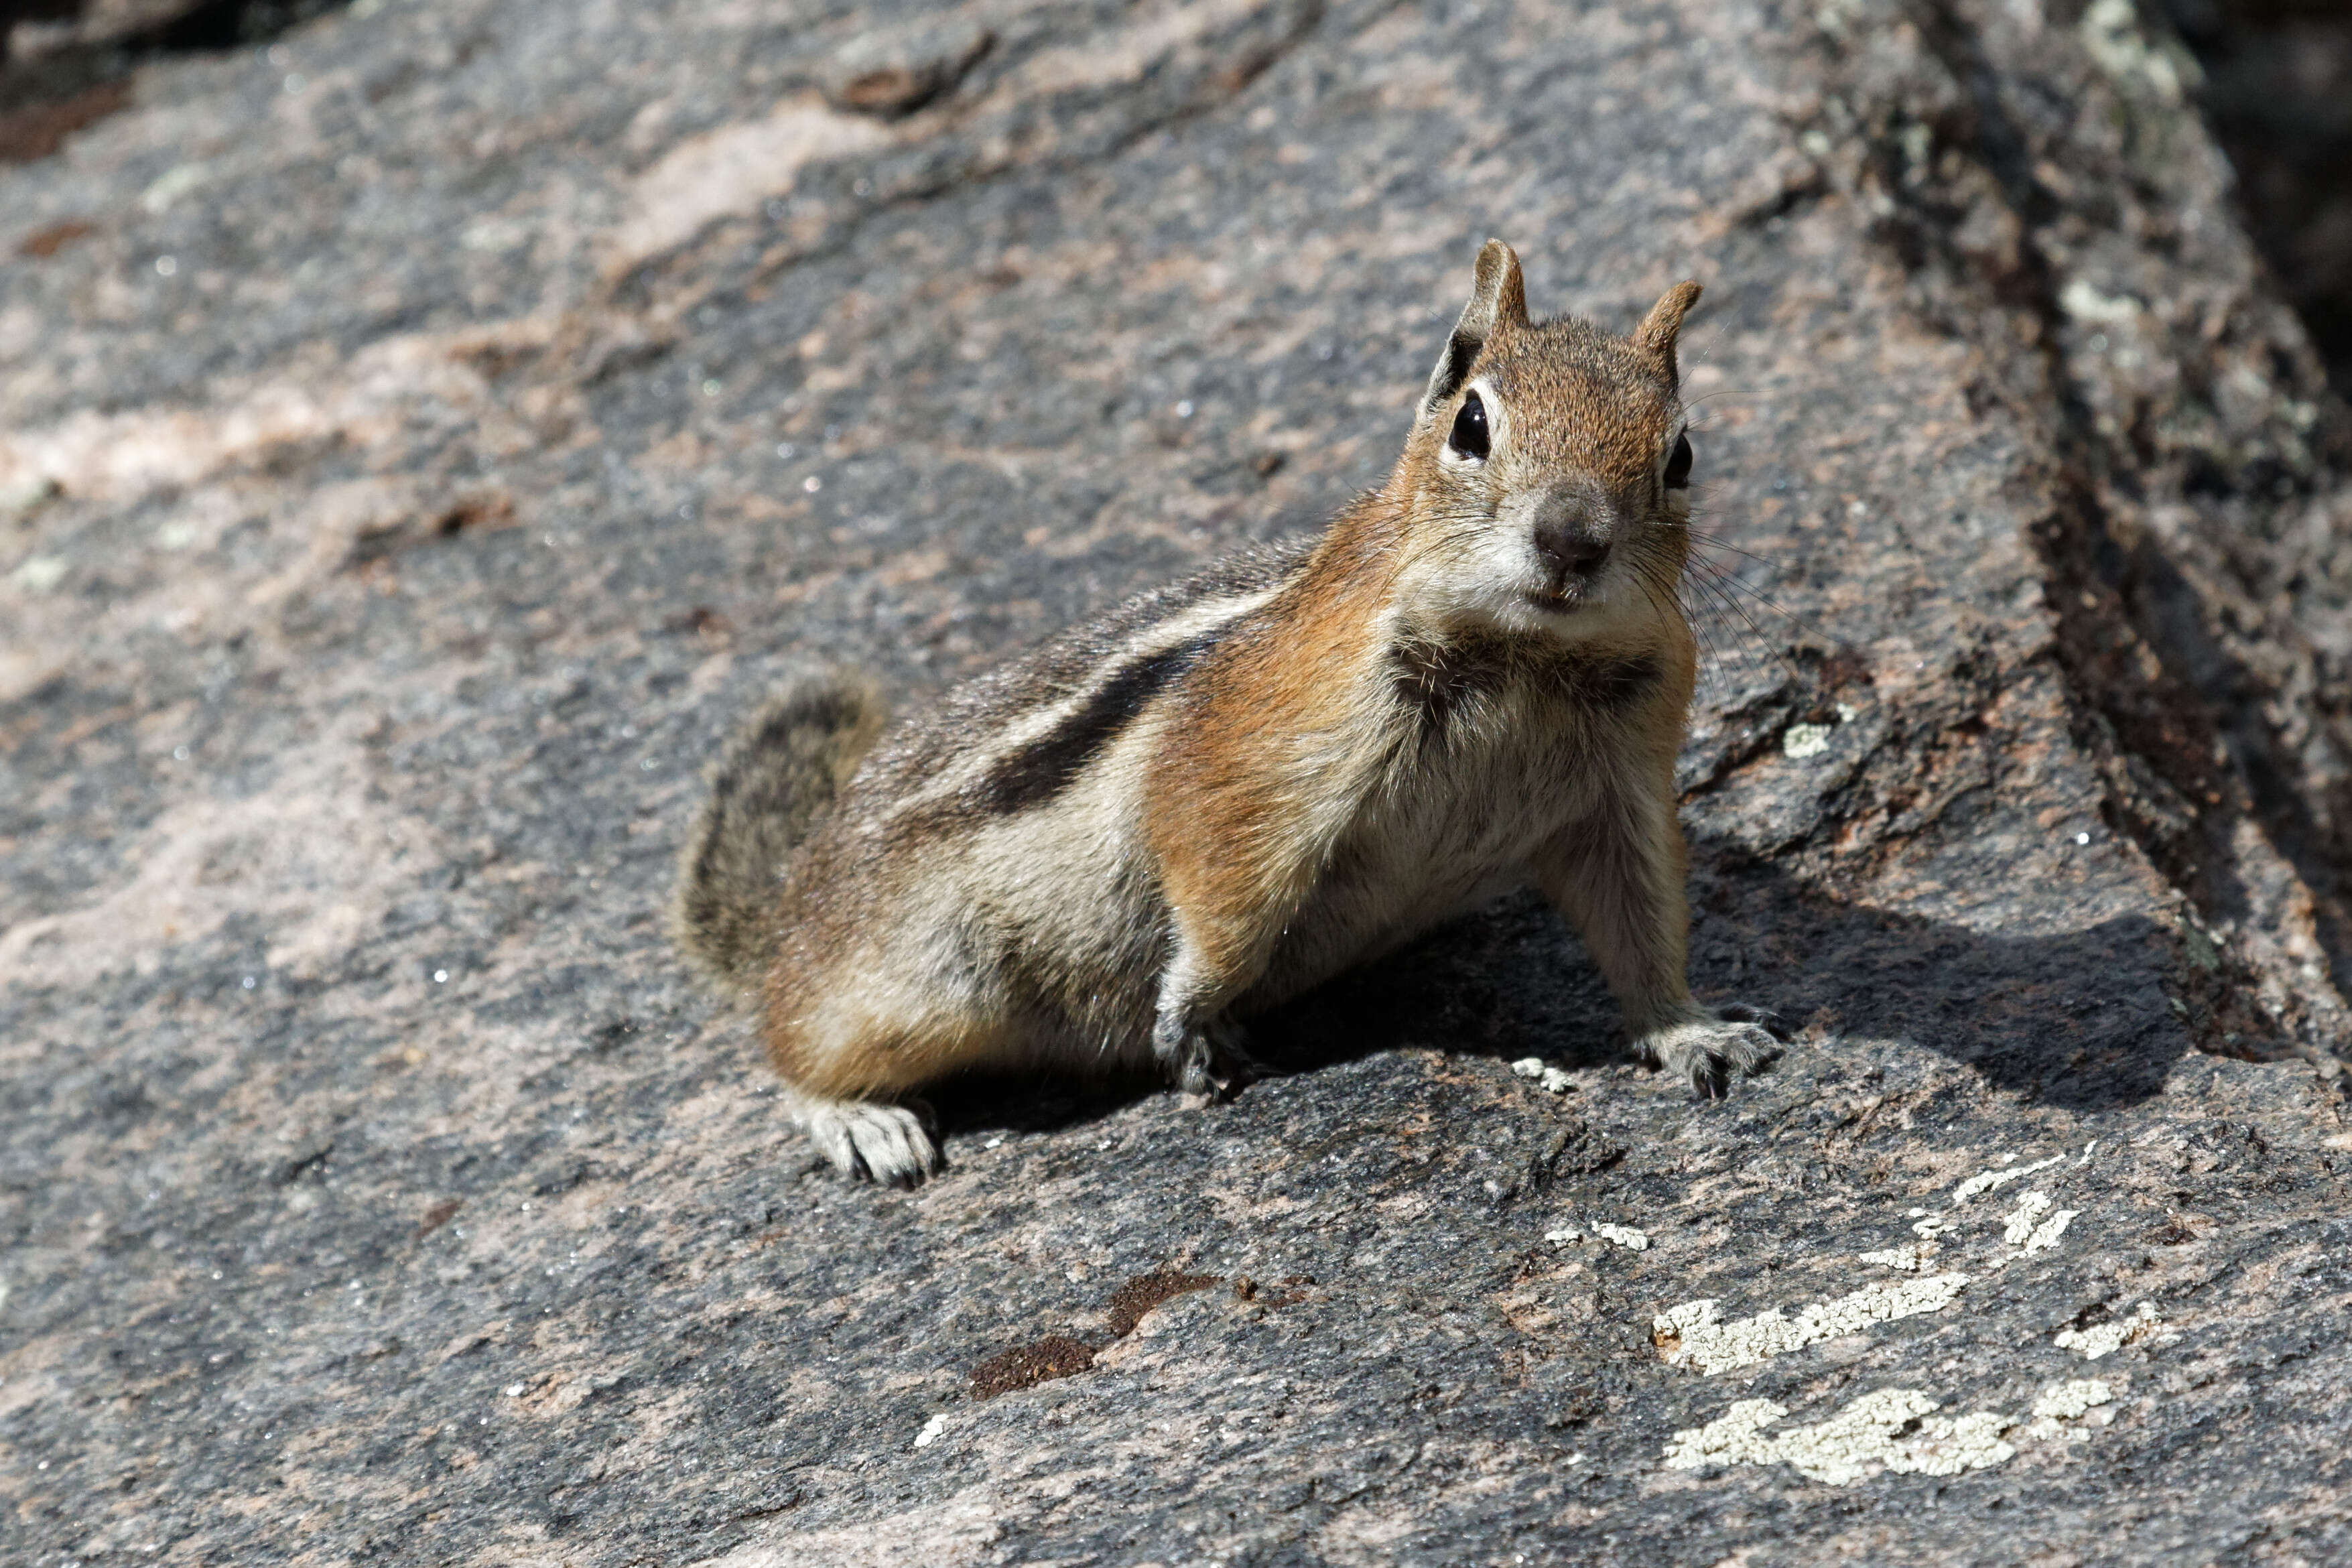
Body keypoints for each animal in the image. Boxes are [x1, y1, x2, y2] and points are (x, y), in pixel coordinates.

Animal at [677, 239, 1778, 1185]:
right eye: (1471, 425)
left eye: (1681, 455)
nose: (1573, 540)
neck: (1524, 661)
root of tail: (796, 895)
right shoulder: (1251, 767)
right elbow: (1221, 898)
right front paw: (1189, 1019)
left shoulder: (1621, 784)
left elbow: (1642, 920)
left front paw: (1695, 1031)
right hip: (922, 987)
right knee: (786, 1044)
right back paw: (861, 1121)